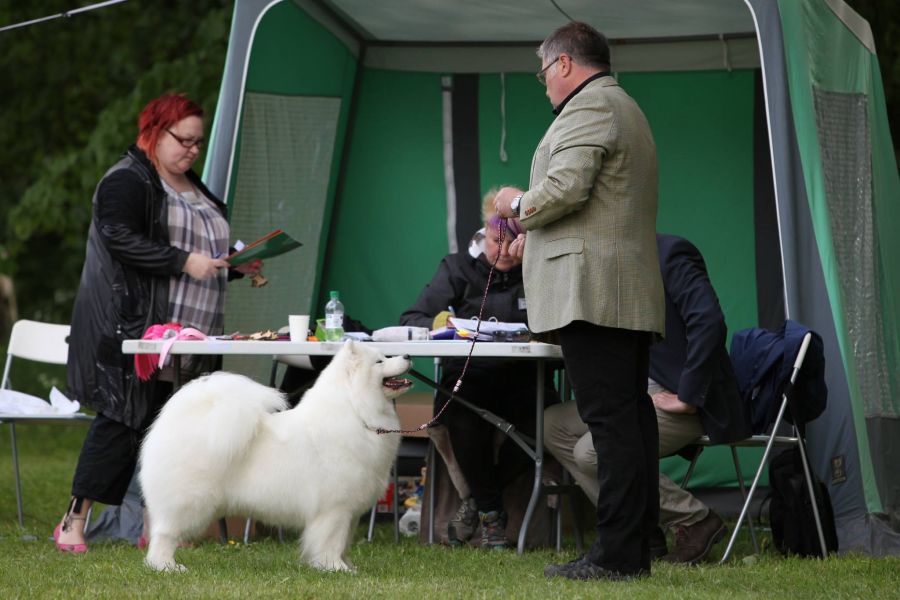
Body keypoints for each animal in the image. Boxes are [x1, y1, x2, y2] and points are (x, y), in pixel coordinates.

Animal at [139, 340, 412, 572]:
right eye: (380, 361)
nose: (408, 355)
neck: (356, 411)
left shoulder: (351, 511)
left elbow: (344, 543)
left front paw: (348, 567)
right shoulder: (335, 508)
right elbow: (332, 541)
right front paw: (334, 568)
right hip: (190, 501)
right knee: (164, 534)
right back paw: (166, 566)